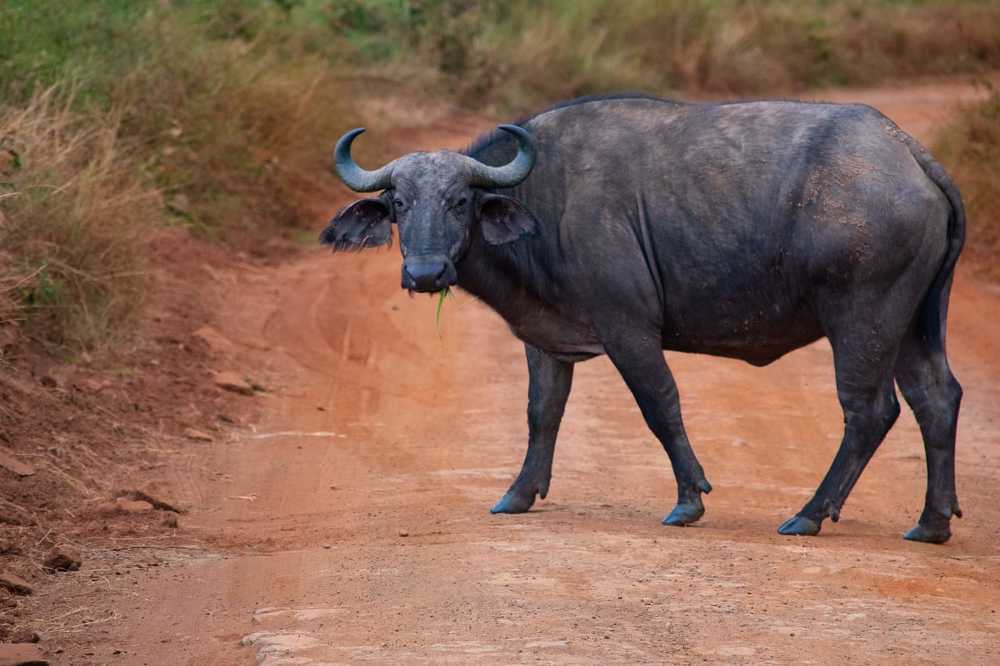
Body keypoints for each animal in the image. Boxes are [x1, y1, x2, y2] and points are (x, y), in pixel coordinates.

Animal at [321, 94, 965, 543]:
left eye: (460, 202)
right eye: (399, 204)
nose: (425, 273)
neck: (546, 197)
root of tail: (907, 151)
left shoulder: (628, 329)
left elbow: (660, 404)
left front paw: (689, 501)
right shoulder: (545, 339)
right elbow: (541, 413)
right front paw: (517, 495)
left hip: (862, 318)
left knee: (869, 411)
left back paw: (808, 514)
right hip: (912, 322)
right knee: (936, 399)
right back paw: (931, 522)